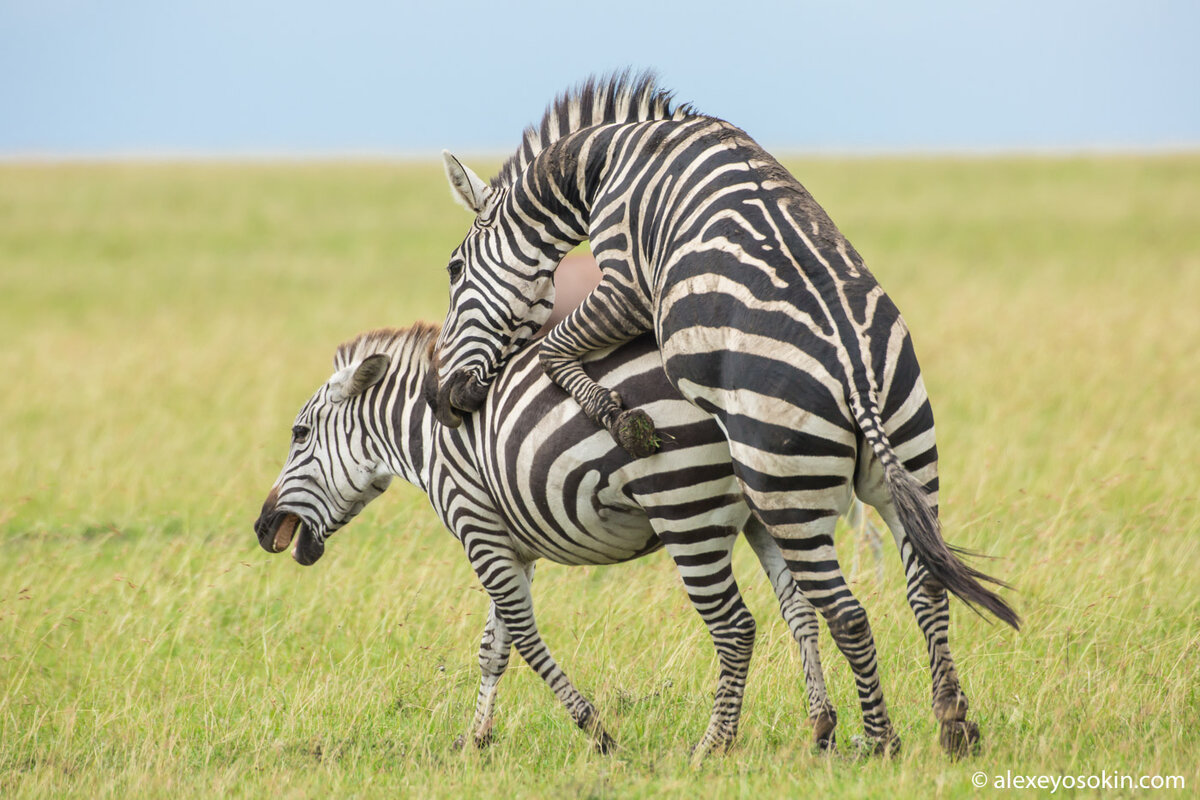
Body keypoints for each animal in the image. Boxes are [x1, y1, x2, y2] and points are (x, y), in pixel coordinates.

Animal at [424, 70, 1022, 758]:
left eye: (453, 269)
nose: (443, 400)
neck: (603, 161)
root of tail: (854, 375)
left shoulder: (625, 282)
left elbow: (552, 350)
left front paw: (620, 419)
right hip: (910, 452)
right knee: (924, 585)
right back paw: (952, 723)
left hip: (782, 485)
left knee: (845, 611)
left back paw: (878, 744)